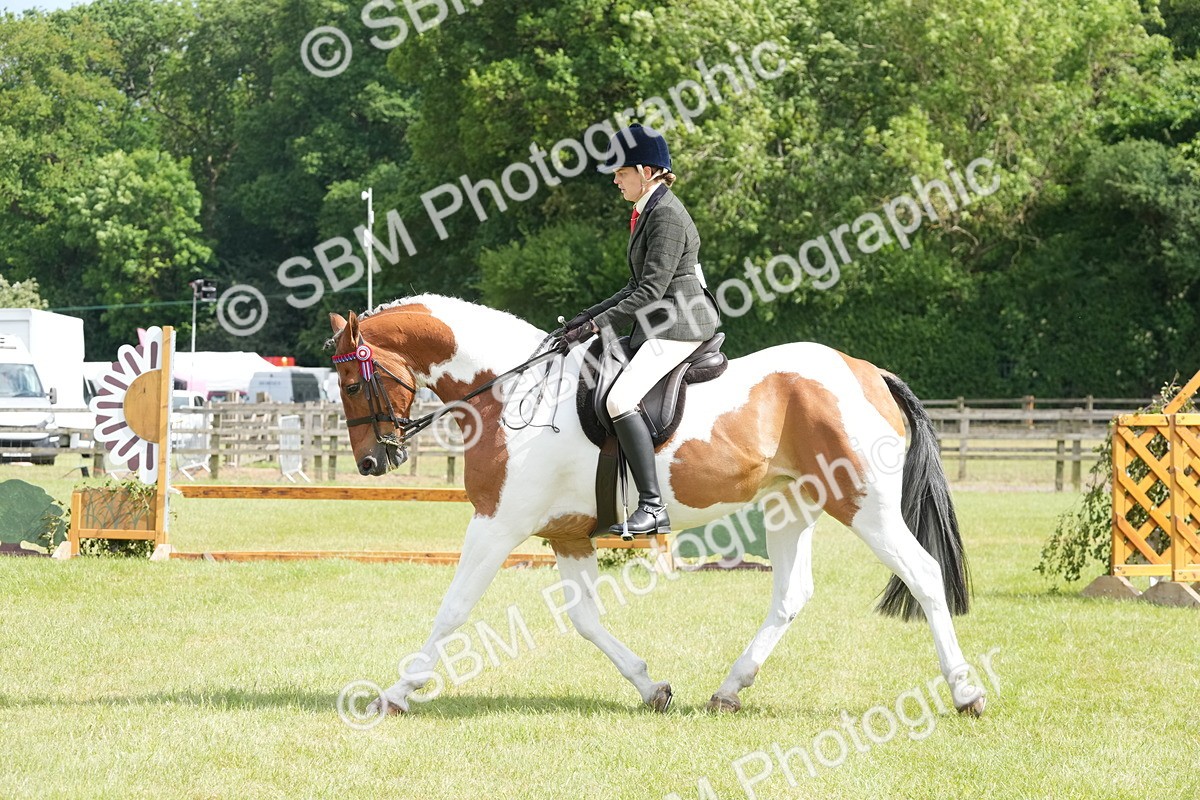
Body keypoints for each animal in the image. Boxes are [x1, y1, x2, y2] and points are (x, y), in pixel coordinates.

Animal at [327, 294, 987, 717]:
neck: (510, 391)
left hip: (864, 505)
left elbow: (453, 610)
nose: (371, 462)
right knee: (791, 594)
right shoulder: (566, 534)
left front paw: (395, 694)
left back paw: (965, 693)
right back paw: (728, 690)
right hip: (790, 504)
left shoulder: (496, 524)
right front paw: (651, 689)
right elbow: (586, 619)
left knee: (924, 573)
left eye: (353, 384)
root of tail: (869, 372)